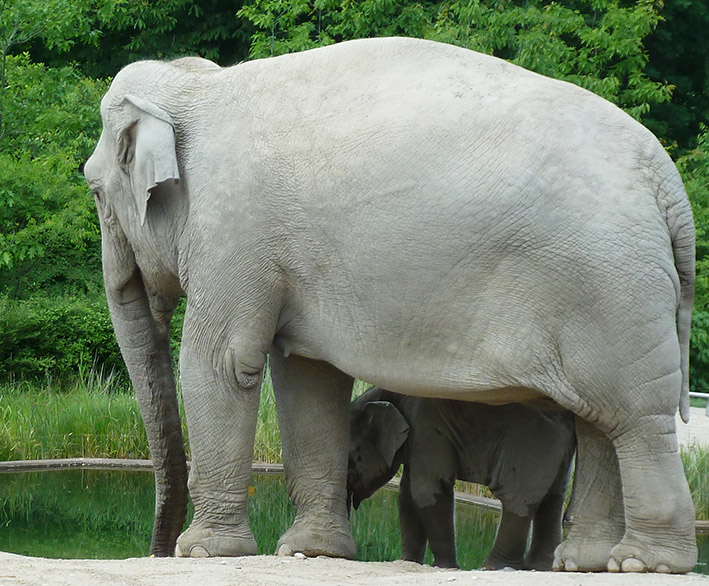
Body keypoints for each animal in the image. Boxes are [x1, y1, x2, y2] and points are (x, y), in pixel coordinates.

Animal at [348, 386, 576, 568]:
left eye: (350, 462)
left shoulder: (426, 425)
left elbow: (425, 490)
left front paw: (445, 567)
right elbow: (406, 496)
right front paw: (407, 562)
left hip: (531, 447)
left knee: (516, 499)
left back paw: (494, 568)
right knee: (553, 500)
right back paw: (539, 567)